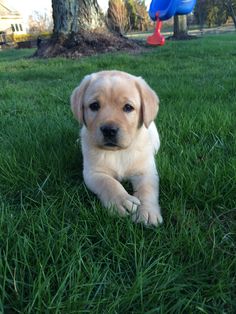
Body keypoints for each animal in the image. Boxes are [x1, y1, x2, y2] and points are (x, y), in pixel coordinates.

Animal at [70, 70, 162, 226]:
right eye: (94, 106)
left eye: (128, 107)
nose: (109, 130)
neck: (119, 152)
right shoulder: (93, 173)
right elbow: (108, 183)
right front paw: (121, 200)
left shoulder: (146, 171)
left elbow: (147, 189)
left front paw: (147, 212)